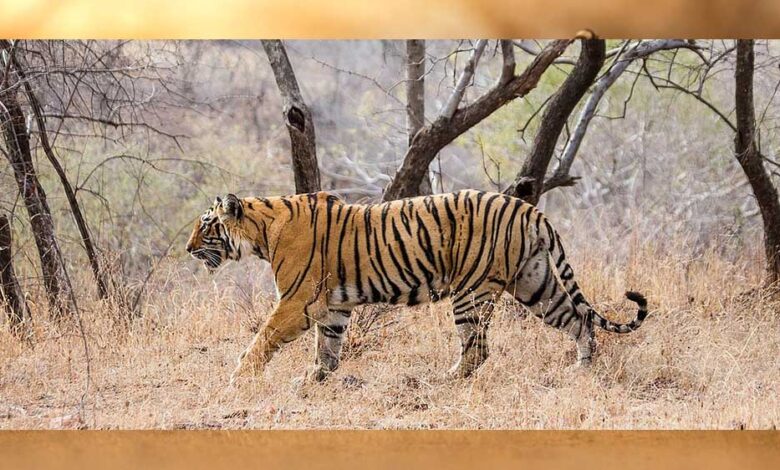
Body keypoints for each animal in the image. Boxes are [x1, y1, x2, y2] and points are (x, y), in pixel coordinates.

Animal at [185, 190, 648, 385]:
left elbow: (261, 339)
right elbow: (328, 346)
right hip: (536, 284)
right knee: (578, 321)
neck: (262, 231)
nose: (188, 250)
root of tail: (528, 208)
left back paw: (446, 379)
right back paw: (582, 369)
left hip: (472, 292)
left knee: (478, 349)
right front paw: (315, 378)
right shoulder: (332, 307)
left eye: (205, 227)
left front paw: (238, 378)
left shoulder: (296, 303)